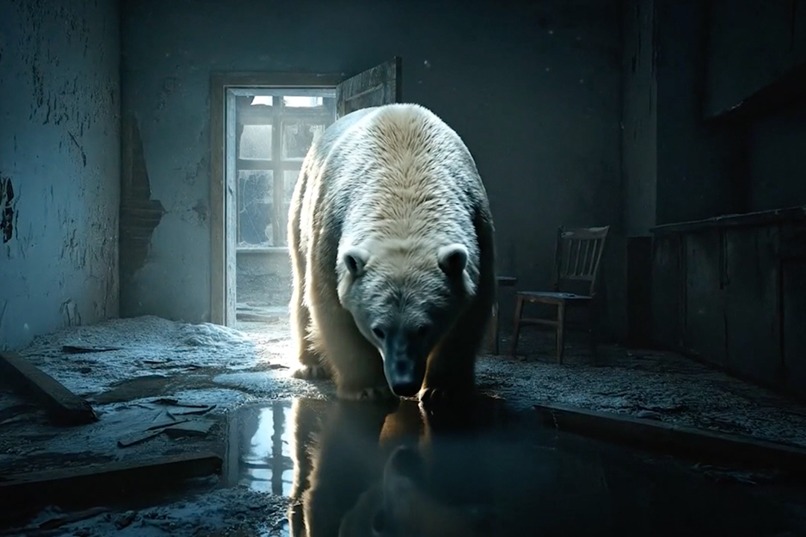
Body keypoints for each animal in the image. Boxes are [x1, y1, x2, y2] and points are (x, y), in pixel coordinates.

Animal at [287, 103, 496, 402]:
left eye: (423, 329)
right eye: (379, 331)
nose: (403, 384)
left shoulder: (478, 225)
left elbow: (470, 314)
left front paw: (442, 389)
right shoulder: (331, 227)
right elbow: (331, 305)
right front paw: (368, 387)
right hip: (302, 201)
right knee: (301, 282)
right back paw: (309, 365)